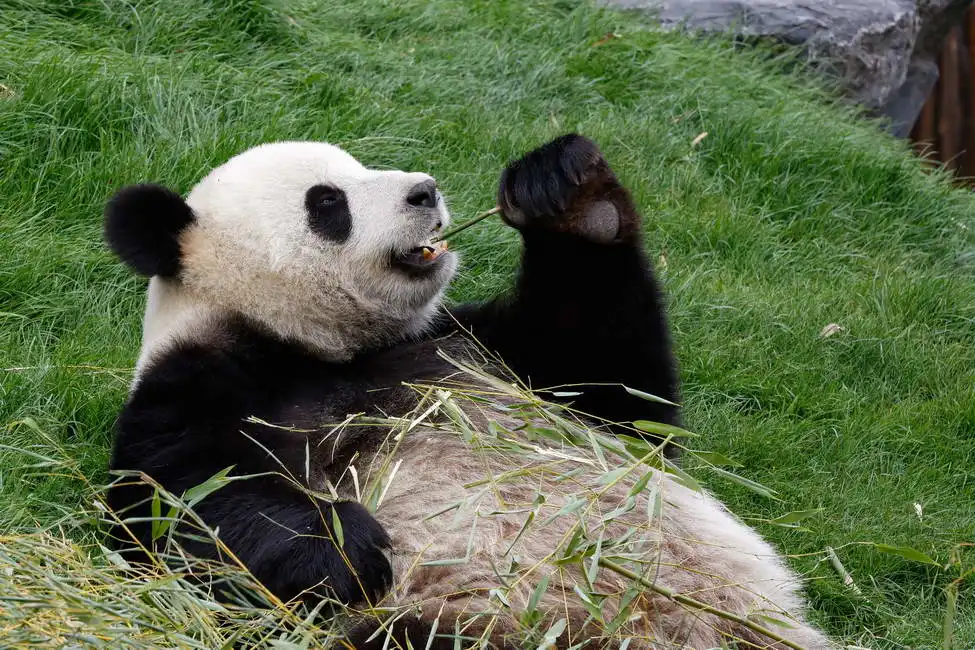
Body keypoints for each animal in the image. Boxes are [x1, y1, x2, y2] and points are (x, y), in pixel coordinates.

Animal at [104, 135, 831, 649]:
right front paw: (347, 547)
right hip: (472, 621)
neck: (320, 347)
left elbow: (621, 394)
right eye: (328, 202)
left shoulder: (480, 349)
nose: (424, 191)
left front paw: (571, 198)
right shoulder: (191, 391)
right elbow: (184, 508)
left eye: (358, 166)